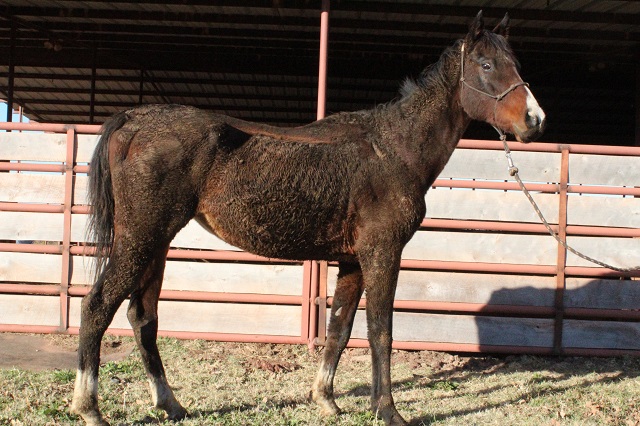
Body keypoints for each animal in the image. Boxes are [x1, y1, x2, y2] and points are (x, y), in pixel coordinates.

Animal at [72, 10, 544, 426]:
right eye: (486, 64)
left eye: (517, 64)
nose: (534, 119)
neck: (393, 149)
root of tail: (134, 118)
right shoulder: (383, 253)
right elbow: (381, 331)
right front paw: (388, 411)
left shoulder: (353, 260)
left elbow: (339, 327)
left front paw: (327, 401)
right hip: (140, 237)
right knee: (97, 305)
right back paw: (90, 408)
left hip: (157, 241)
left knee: (143, 316)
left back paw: (170, 404)